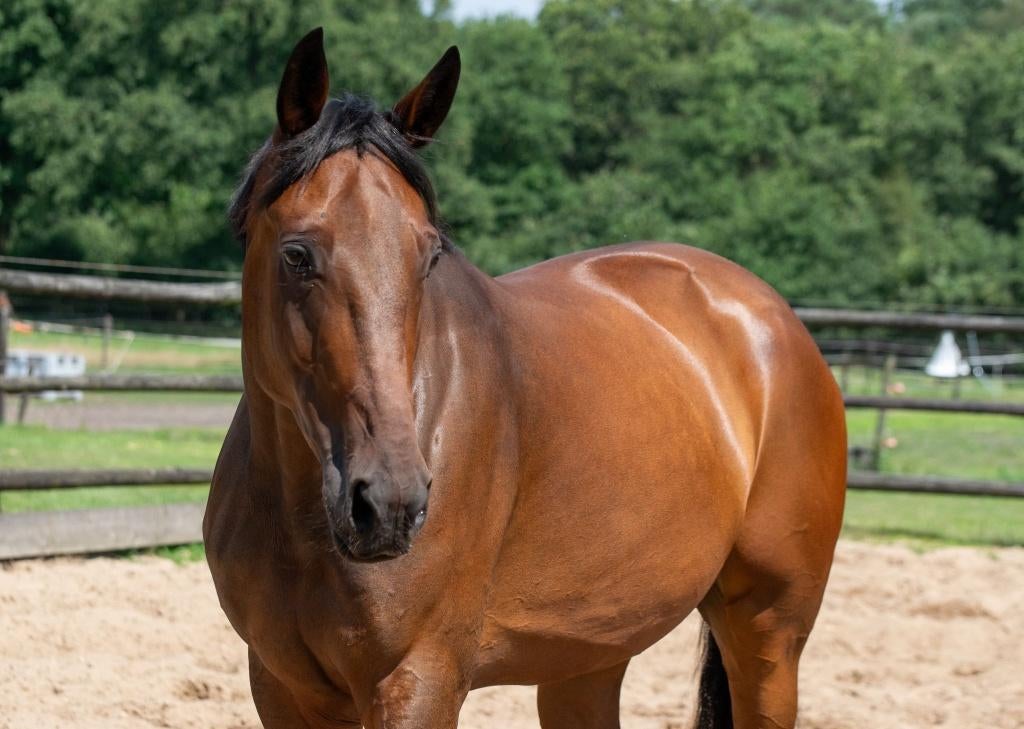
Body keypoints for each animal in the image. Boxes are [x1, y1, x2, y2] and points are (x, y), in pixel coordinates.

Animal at [204, 28, 847, 729]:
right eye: (297, 254)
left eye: (429, 254)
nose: (391, 502)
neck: (301, 520)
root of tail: (773, 319)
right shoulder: (279, 683)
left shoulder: (418, 680)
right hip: (590, 655)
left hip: (768, 635)